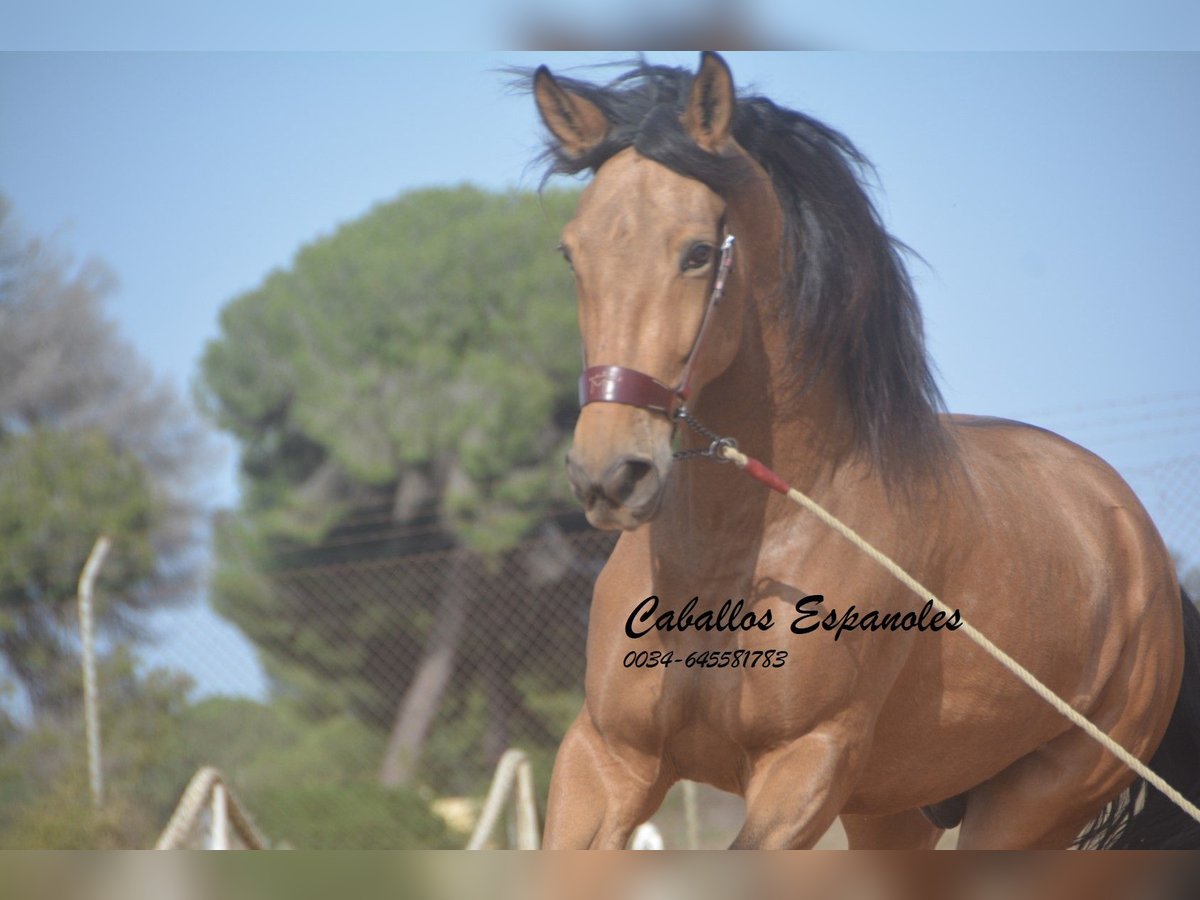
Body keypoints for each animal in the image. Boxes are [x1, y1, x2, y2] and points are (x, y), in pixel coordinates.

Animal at [528, 52, 1200, 849]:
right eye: (572, 251)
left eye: (697, 253)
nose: (609, 475)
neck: (735, 557)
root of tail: (1139, 548)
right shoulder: (607, 758)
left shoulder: (808, 765)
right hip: (893, 813)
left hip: (1035, 804)